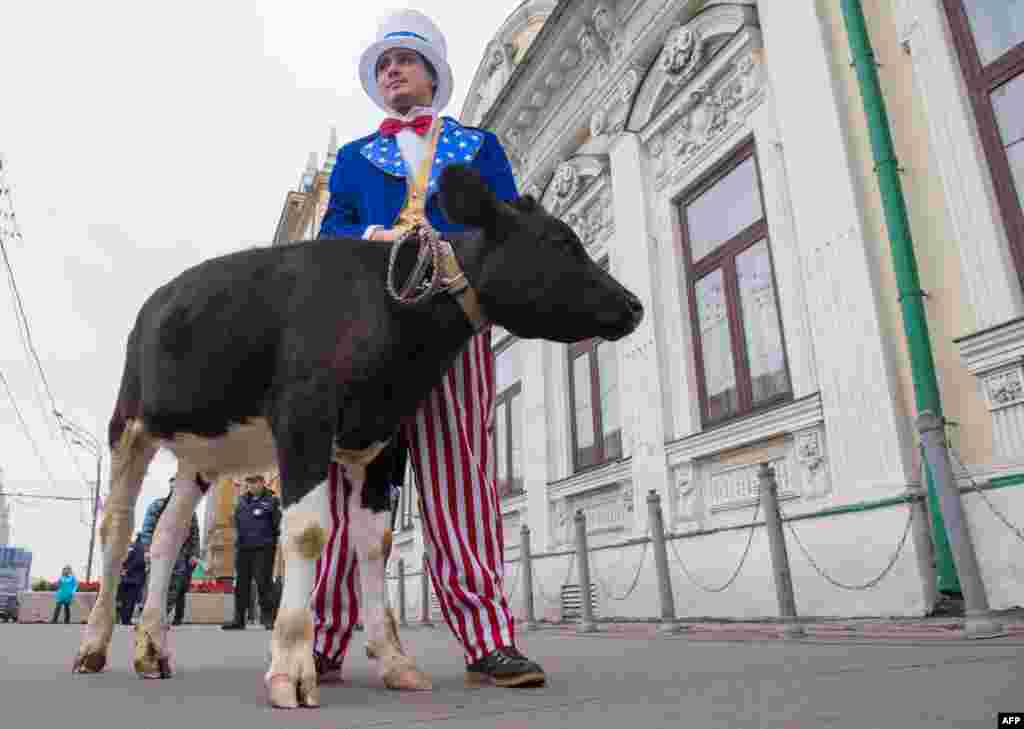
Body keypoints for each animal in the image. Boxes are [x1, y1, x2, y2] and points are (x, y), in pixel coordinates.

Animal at [75, 164, 643, 704]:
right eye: (559, 242)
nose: (634, 304)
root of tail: (159, 298)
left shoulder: (378, 441)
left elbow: (376, 545)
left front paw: (395, 661)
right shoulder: (303, 418)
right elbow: (307, 532)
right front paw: (291, 669)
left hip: (202, 454)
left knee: (166, 537)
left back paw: (152, 649)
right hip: (129, 425)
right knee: (117, 531)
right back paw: (94, 646)